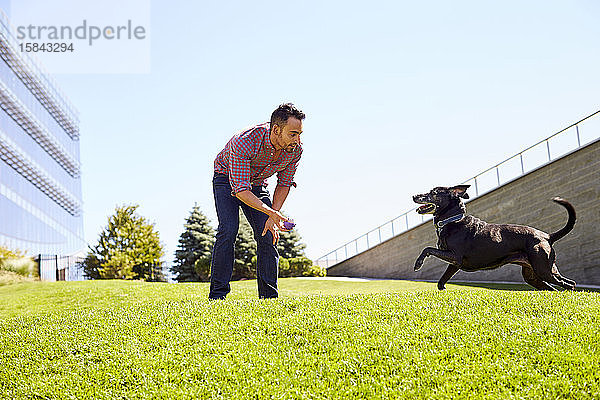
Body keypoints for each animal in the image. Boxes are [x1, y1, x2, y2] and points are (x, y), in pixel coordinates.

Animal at [412, 184, 576, 290]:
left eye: (433, 192)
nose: (414, 196)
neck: (452, 220)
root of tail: (547, 236)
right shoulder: (454, 263)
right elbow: (441, 282)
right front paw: (443, 290)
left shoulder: (454, 256)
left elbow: (427, 249)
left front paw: (418, 263)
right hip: (535, 274)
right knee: (558, 286)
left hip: (543, 269)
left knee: (568, 284)